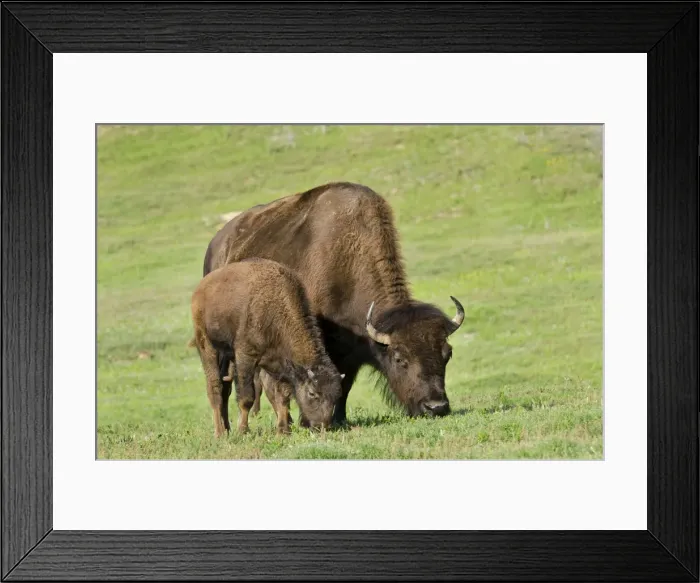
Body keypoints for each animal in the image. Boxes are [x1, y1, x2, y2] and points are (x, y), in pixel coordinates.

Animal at [190, 257, 343, 436]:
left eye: (336, 396)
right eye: (312, 393)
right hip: (207, 345)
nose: (323, 426)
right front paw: (243, 430)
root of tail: (200, 290)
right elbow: (247, 396)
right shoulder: (246, 357)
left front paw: (283, 430)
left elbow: (283, 396)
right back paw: (220, 433)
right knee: (214, 386)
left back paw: (226, 429)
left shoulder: (278, 364)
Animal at [203, 182, 465, 425]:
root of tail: (217, 244)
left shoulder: (351, 352)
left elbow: (344, 384)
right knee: (225, 385)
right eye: (400, 358)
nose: (436, 407)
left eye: (448, 353)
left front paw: (339, 418)